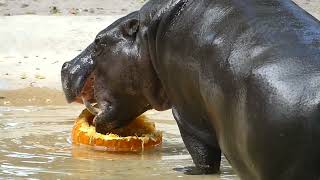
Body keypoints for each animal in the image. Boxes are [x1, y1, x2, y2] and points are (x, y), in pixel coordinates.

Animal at [61, 0, 320, 179]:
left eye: (99, 42)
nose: (65, 65)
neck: (149, 34)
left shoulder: (188, 117)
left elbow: (203, 158)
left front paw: (185, 170)